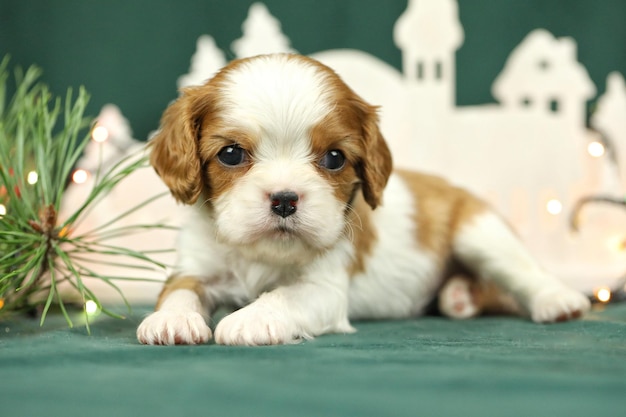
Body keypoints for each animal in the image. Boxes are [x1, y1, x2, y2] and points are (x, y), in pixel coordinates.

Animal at [136, 52, 588, 344]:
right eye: (231, 154)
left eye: (334, 158)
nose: (284, 200)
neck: (262, 255)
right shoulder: (195, 268)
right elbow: (179, 291)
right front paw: (170, 320)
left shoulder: (325, 288)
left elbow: (285, 295)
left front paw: (250, 319)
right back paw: (458, 297)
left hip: (479, 232)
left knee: (523, 272)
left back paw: (557, 300)